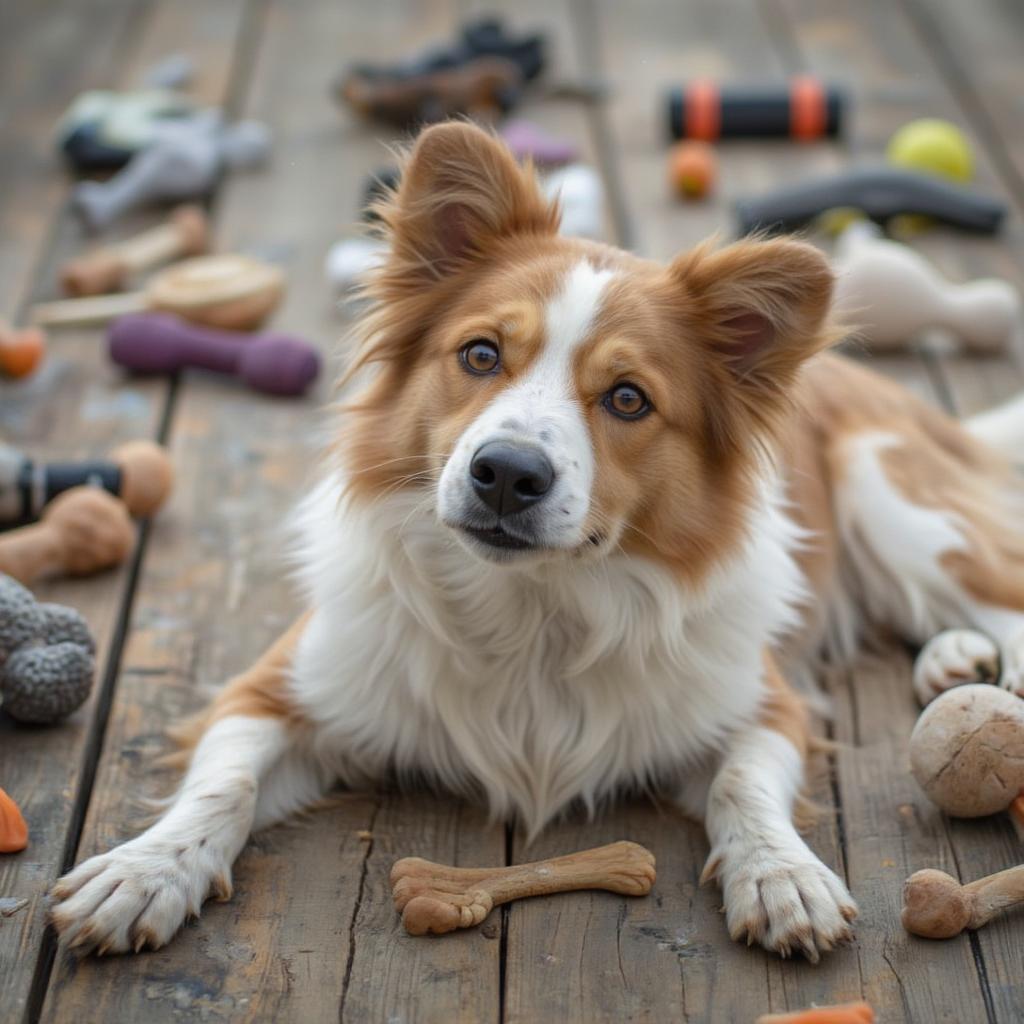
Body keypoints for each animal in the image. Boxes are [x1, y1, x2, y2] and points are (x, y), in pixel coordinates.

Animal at [51, 123, 1024, 962]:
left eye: (628, 398)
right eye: (481, 355)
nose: (507, 475)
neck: (531, 609)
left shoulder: (764, 703)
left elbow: (741, 785)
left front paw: (782, 875)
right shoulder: (273, 688)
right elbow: (225, 783)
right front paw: (146, 871)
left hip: (898, 502)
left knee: (999, 590)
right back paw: (951, 660)